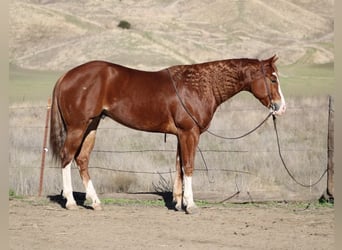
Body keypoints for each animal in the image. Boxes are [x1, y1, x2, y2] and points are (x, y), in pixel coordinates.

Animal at [49, 55, 286, 213]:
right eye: (273, 79)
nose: (281, 107)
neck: (200, 85)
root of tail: (66, 76)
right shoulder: (190, 133)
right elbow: (188, 166)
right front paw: (191, 204)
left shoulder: (182, 135)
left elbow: (179, 167)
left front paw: (179, 202)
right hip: (78, 127)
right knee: (67, 157)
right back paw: (71, 202)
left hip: (92, 126)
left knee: (82, 159)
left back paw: (96, 202)